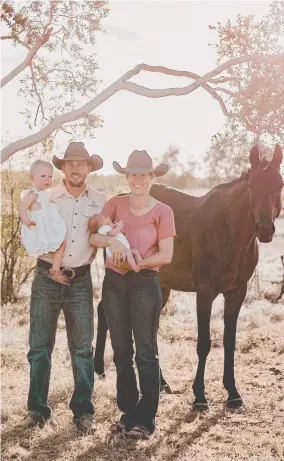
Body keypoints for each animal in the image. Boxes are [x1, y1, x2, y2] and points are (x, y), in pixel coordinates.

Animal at [93, 145, 282, 410]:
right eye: (253, 185)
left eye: (280, 184)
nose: (265, 230)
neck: (229, 231)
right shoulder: (205, 291)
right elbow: (204, 344)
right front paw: (200, 396)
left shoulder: (237, 292)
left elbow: (229, 342)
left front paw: (233, 393)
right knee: (104, 311)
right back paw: (99, 369)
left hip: (161, 288)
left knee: (148, 331)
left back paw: (161, 383)